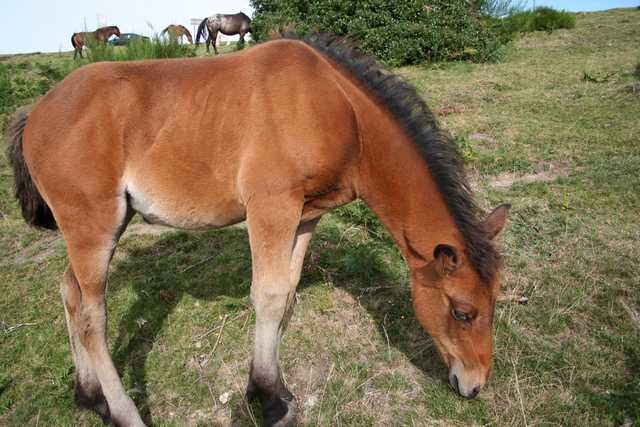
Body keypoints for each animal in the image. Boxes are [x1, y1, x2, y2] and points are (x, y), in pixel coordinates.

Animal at [7, 34, 510, 426]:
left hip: (96, 231)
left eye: (493, 302)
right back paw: (124, 412)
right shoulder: (271, 206)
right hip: (92, 227)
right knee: (93, 317)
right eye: (463, 311)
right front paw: (271, 399)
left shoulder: (306, 214)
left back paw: (89, 396)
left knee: (69, 293)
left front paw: (266, 384)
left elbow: (287, 290)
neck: (338, 110)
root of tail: (35, 111)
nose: (475, 385)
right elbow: (267, 295)